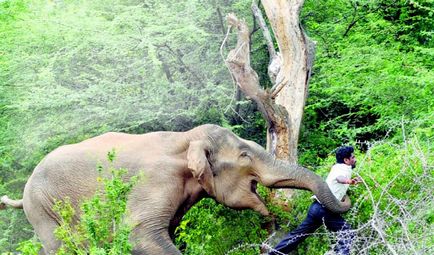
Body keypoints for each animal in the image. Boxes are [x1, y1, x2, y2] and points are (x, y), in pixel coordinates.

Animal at [0, 123, 350, 253]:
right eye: (245, 156)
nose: (347, 201)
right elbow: (139, 234)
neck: (185, 138)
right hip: (43, 211)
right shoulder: (154, 182)